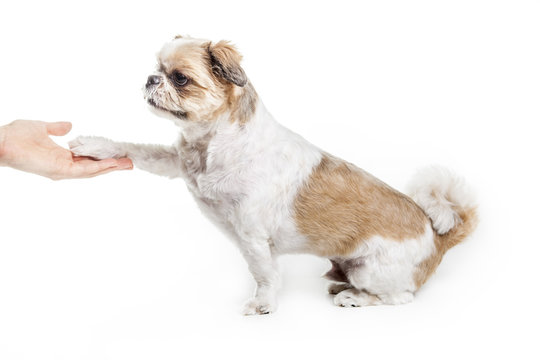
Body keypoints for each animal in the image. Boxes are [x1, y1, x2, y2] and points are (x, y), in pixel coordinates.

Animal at [69, 34, 478, 316]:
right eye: (156, 67)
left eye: (180, 78)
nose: (152, 79)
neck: (214, 146)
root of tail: (436, 234)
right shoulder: (177, 164)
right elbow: (137, 151)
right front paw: (95, 145)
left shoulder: (252, 235)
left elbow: (264, 274)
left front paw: (263, 304)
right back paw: (339, 286)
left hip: (371, 269)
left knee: (400, 296)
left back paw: (355, 298)